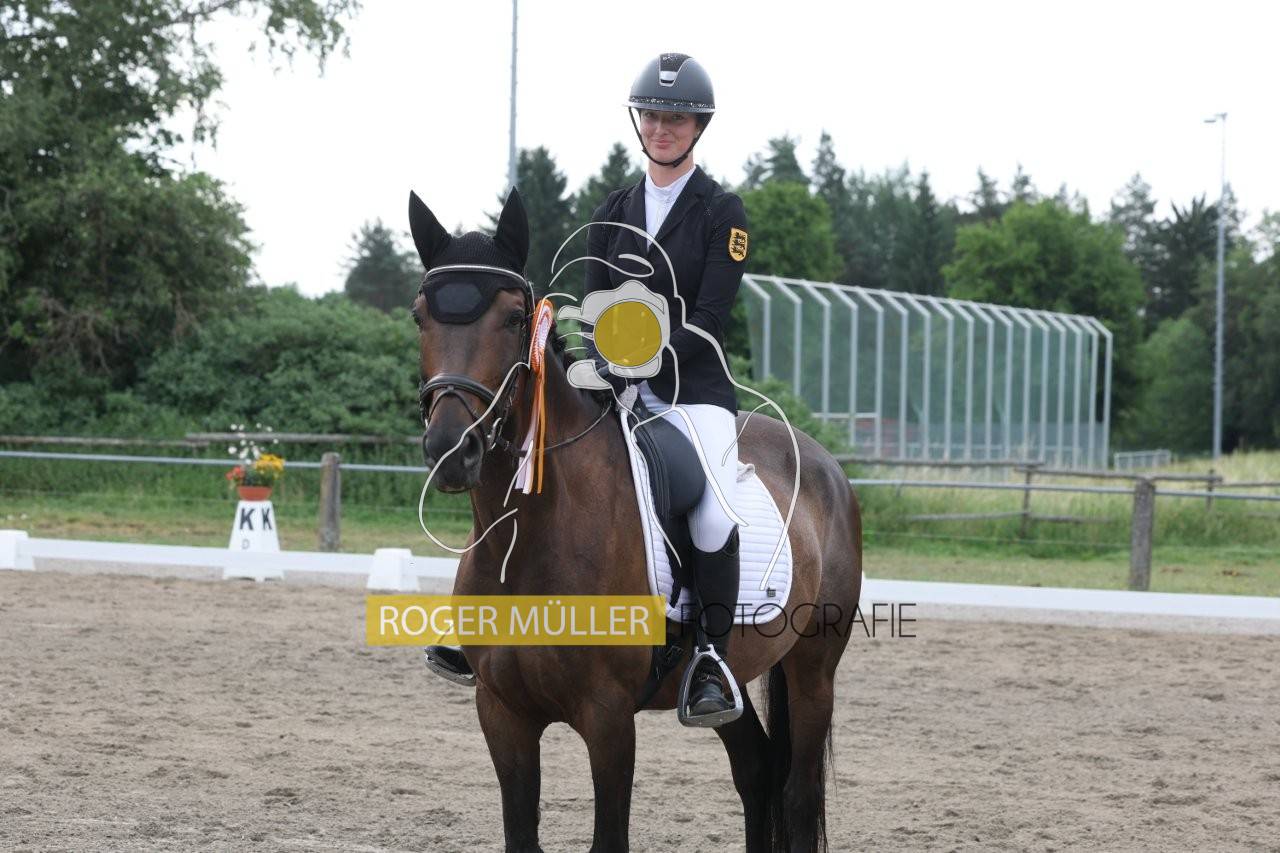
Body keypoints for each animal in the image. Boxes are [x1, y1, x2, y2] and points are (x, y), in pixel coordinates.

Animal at [409, 187, 862, 853]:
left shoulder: (607, 718)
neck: (533, 536)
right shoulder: (502, 714)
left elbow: (610, 836)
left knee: (800, 796)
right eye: (421, 316)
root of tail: (827, 465)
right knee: (756, 771)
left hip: (813, 670)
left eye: (515, 318)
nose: (451, 448)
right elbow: (521, 833)